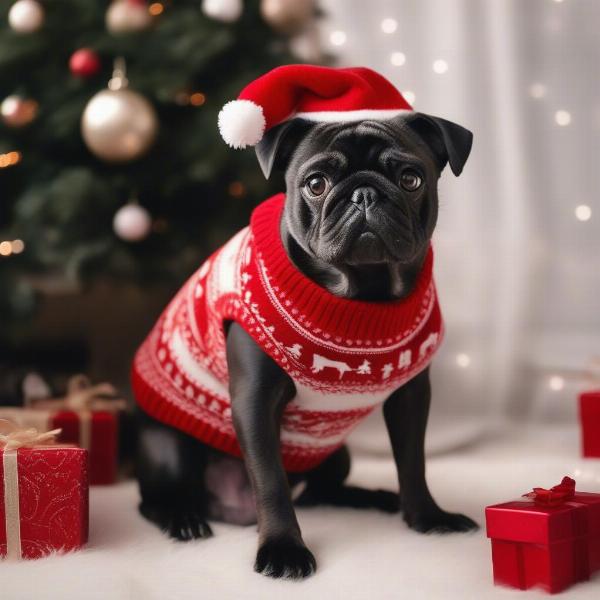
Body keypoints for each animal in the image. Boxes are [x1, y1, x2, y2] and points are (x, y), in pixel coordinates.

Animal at [136, 110, 478, 580]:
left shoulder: (411, 397)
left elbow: (413, 462)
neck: (362, 296)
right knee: (152, 500)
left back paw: (374, 497)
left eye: (411, 179)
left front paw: (427, 518)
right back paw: (182, 520)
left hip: (337, 454)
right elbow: (271, 481)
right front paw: (283, 549)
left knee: (321, 492)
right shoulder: (255, 402)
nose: (364, 193)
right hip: (168, 448)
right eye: (316, 184)